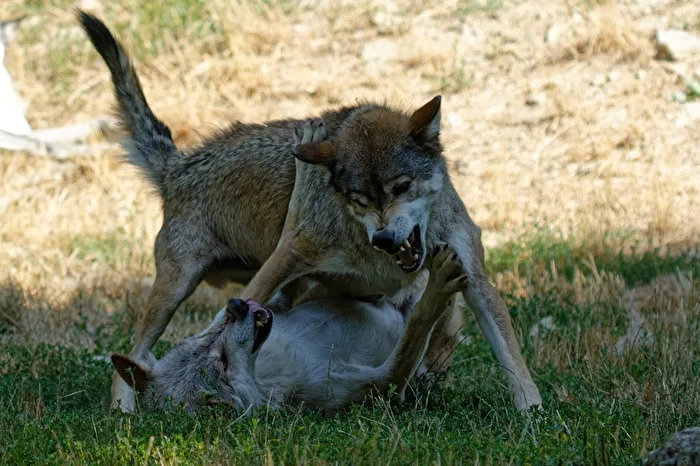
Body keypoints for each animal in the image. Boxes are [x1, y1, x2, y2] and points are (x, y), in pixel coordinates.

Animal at [77, 11, 542, 414]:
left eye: (401, 187)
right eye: (358, 199)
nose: (384, 239)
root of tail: (179, 165)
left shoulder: (471, 273)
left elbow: (511, 358)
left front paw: (533, 415)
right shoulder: (291, 256)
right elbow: (219, 329)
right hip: (176, 290)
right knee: (132, 358)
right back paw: (125, 412)